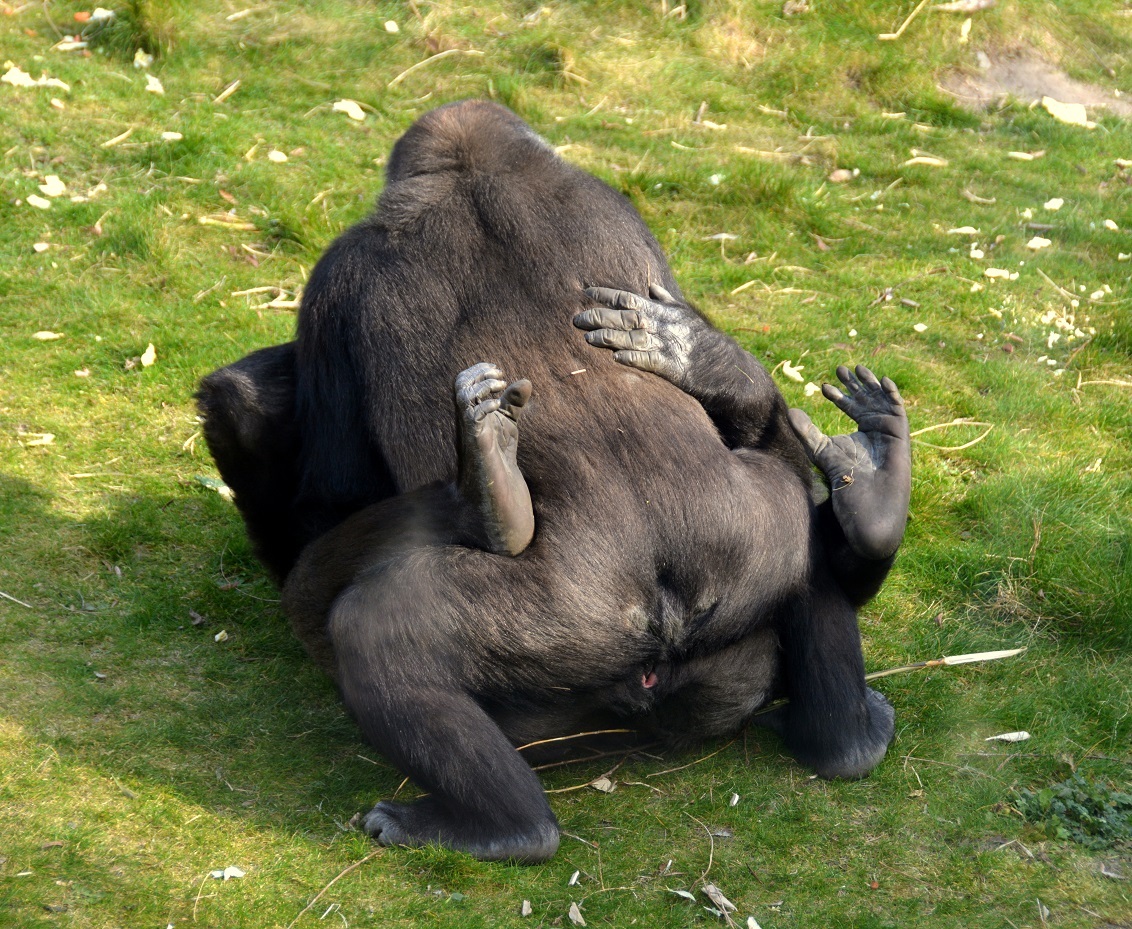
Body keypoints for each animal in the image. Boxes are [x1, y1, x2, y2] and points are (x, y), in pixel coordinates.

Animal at [196, 99, 910, 864]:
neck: (474, 174)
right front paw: (709, 360)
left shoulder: (334, 282)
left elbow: (325, 497)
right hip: (756, 541)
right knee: (798, 527)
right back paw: (847, 717)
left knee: (375, 629)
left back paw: (501, 820)